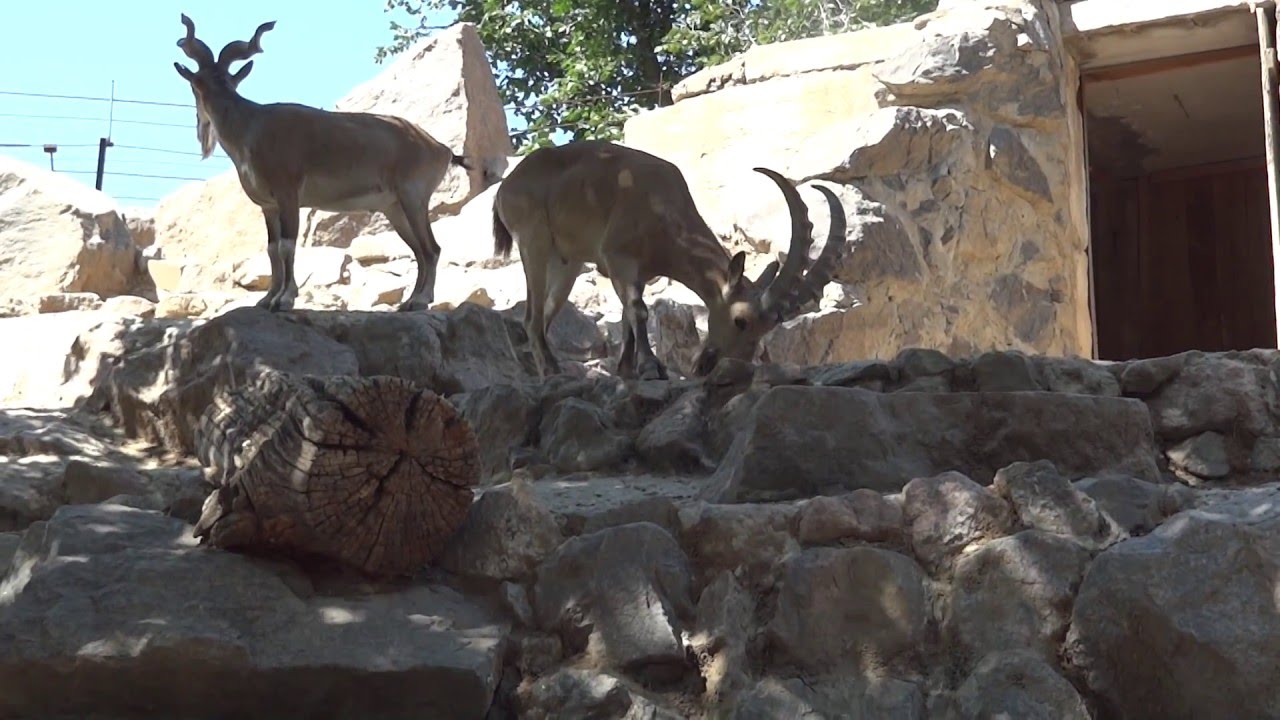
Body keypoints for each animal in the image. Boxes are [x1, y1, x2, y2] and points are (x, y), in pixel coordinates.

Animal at [173, 14, 468, 311]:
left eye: (223, 81)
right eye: (199, 81)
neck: (252, 128)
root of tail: (441, 149)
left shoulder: (288, 195)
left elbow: (286, 246)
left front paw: (285, 299)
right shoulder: (269, 206)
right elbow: (271, 249)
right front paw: (267, 298)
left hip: (413, 198)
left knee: (431, 249)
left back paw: (420, 300)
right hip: (395, 209)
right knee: (419, 250)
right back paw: (410, 301)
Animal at [492, 140, 847, 380]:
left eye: (765, 329)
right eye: (740, 320)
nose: (710, 366)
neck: (662, 209)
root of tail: (505, 187)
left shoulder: (638, 273)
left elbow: (627, 315)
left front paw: (627, 369)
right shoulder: (618, 258)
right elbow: (638, 310)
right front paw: (650, 367)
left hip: (567, 263)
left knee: (544, 316)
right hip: (533, 241)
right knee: (531, 317)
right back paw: (551, 370)